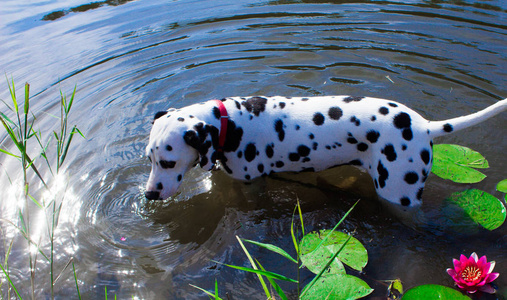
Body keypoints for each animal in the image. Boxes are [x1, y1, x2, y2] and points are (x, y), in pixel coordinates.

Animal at [144, 95, 507, 206]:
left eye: (168, 161)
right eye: (149, 158)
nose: (149, 194)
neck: (230, 124)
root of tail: (425, 125)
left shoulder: (252, 185)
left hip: (397, 193)